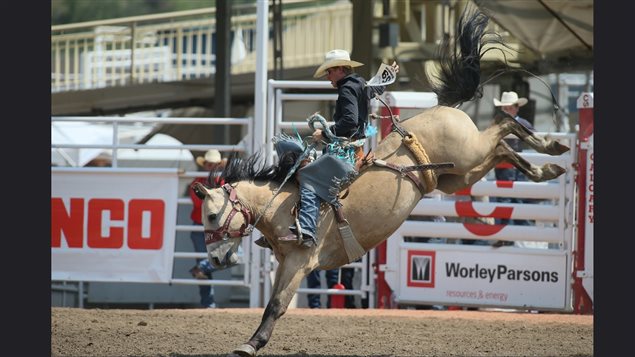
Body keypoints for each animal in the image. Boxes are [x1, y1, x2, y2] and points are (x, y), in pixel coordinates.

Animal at [191, 6, 568, 356]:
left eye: (210, 215)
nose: (217, 261)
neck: (282, 204)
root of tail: (444, 108)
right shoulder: (286, 261)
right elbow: (274, 303)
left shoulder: (300, 260)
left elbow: (276, 305)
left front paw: (250, 344)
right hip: (457, 175)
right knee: (503, 147)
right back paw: (547, 167)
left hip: (468, 154)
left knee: (505, 127)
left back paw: (551, 147)